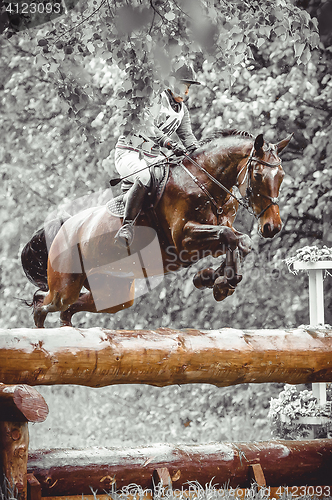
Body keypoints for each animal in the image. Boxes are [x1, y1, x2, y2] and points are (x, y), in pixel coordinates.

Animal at [22, 128, 290, 328]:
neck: (204, 182)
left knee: (67, 309)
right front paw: (218, 280)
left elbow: (239, 241)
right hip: (65, 286)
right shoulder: (184, 241)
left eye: (281, 176)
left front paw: (215, 279)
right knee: (45, 304)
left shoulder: (213, 238)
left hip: (113, 293)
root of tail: (63, 227)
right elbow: (230, 237)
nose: (273, 227)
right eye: (257, 175)